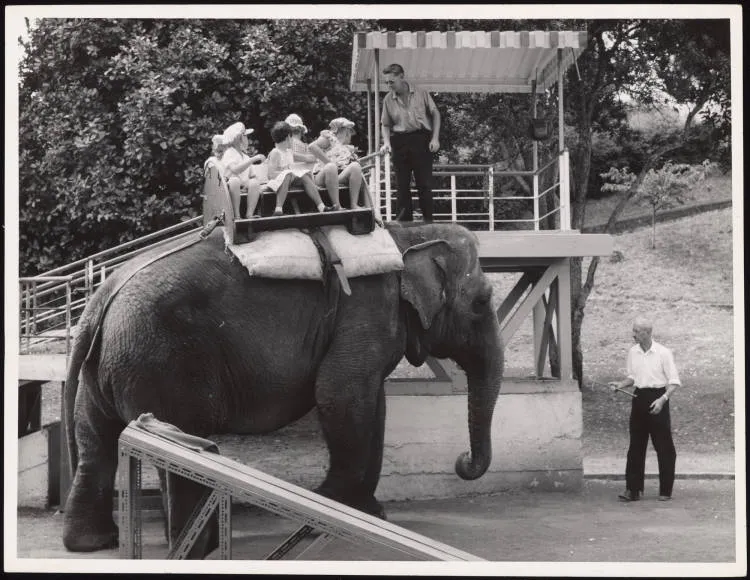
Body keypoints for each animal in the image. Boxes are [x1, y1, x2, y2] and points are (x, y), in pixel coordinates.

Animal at [61, 221, 504, 555]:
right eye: (483, 302)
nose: (463, 461)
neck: (408, 233)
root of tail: (100, 299)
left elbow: (372, 402)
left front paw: (369, 514)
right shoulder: (366, 307)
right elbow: (340, 393)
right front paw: (328, 508)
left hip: (109, 367)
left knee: (95, 440)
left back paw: (91, 543)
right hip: (160, 360)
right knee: (174, 445)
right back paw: (197, 545)